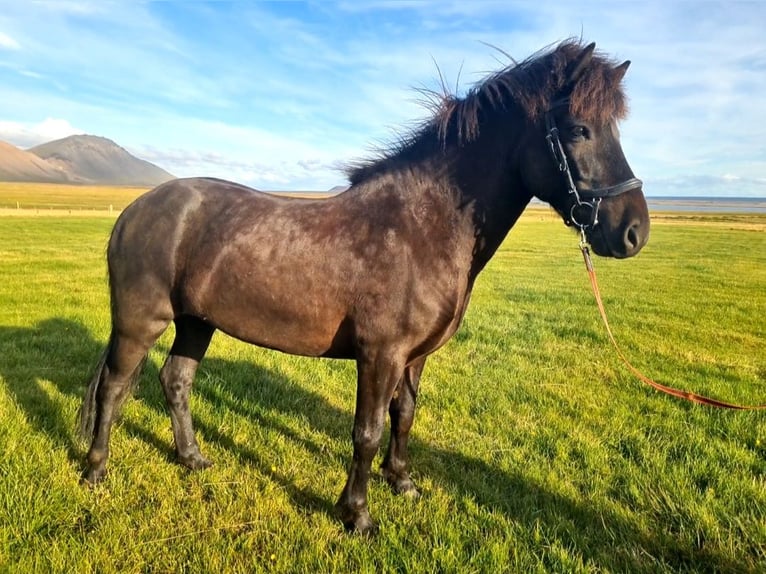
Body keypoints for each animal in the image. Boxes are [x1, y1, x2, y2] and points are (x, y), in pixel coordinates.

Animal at [81, 40, 652, 536]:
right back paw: (95, 469)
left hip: (197, 322)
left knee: (175, 382)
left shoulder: (415, 356)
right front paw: (357, 514)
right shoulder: (380, 354)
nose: (634, 232)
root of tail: (136, 208)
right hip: (141, 320)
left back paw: (193, 459)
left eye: (617, 131)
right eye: (579, 129)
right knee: (114, 386)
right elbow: (367, 431)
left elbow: (404, 417)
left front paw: (402, 483)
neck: (422, 227)